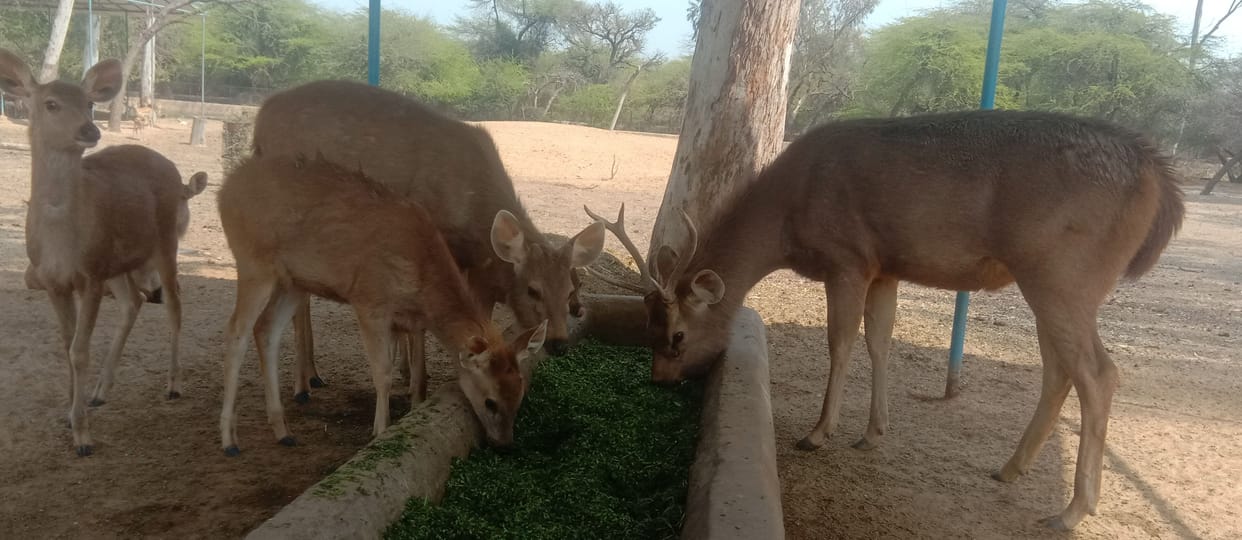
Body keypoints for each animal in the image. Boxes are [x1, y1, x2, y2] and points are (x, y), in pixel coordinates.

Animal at [1, 49, 198, 456]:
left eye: (89, 103)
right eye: (51, 103)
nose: (90, 130)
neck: (61, 240)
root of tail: (176, 172)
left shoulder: (89, 273)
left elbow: (80, 349)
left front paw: (82, 436)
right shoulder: (54, 280)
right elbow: (66, 345)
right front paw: (69, 413)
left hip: (165, 242)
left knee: (174, 304)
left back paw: (173, 384)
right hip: (118, 261)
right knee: (133, 302)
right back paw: (99, 391)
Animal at [216, 151, 548, 456]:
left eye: (520, 393)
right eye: (490, 401)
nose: (504, 444)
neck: (421, 277)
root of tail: (223, 192)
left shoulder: (408, 320)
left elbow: (415, 371)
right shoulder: (369, 301)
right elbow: (383, 372)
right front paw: (380, 431)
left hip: (294, 281)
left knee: (266, 330)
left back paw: (283, 431)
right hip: (254, 263)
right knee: (236, 331)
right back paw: (230, 439)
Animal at [250, 79, 604, 404]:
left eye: (570, 290)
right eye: (533, 289)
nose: (559, 343)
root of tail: (260, 119)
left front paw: (414, 373)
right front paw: (418, 390)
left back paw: (312, 375)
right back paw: (303, 383)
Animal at [593, 109, 1185, 531]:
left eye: (676, 335)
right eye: (647, 327)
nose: (659, 379)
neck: (787, 219)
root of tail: (1162, 185)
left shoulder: (847, 257)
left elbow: (841, 342)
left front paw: (819, 433)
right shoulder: (885, 267)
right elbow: (880, 340)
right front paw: (873, 432)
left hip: (1064, 272)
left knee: (1099, 374)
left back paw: (1071, 510)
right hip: (1051, 281)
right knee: (1060, 370)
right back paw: (1010, 468)